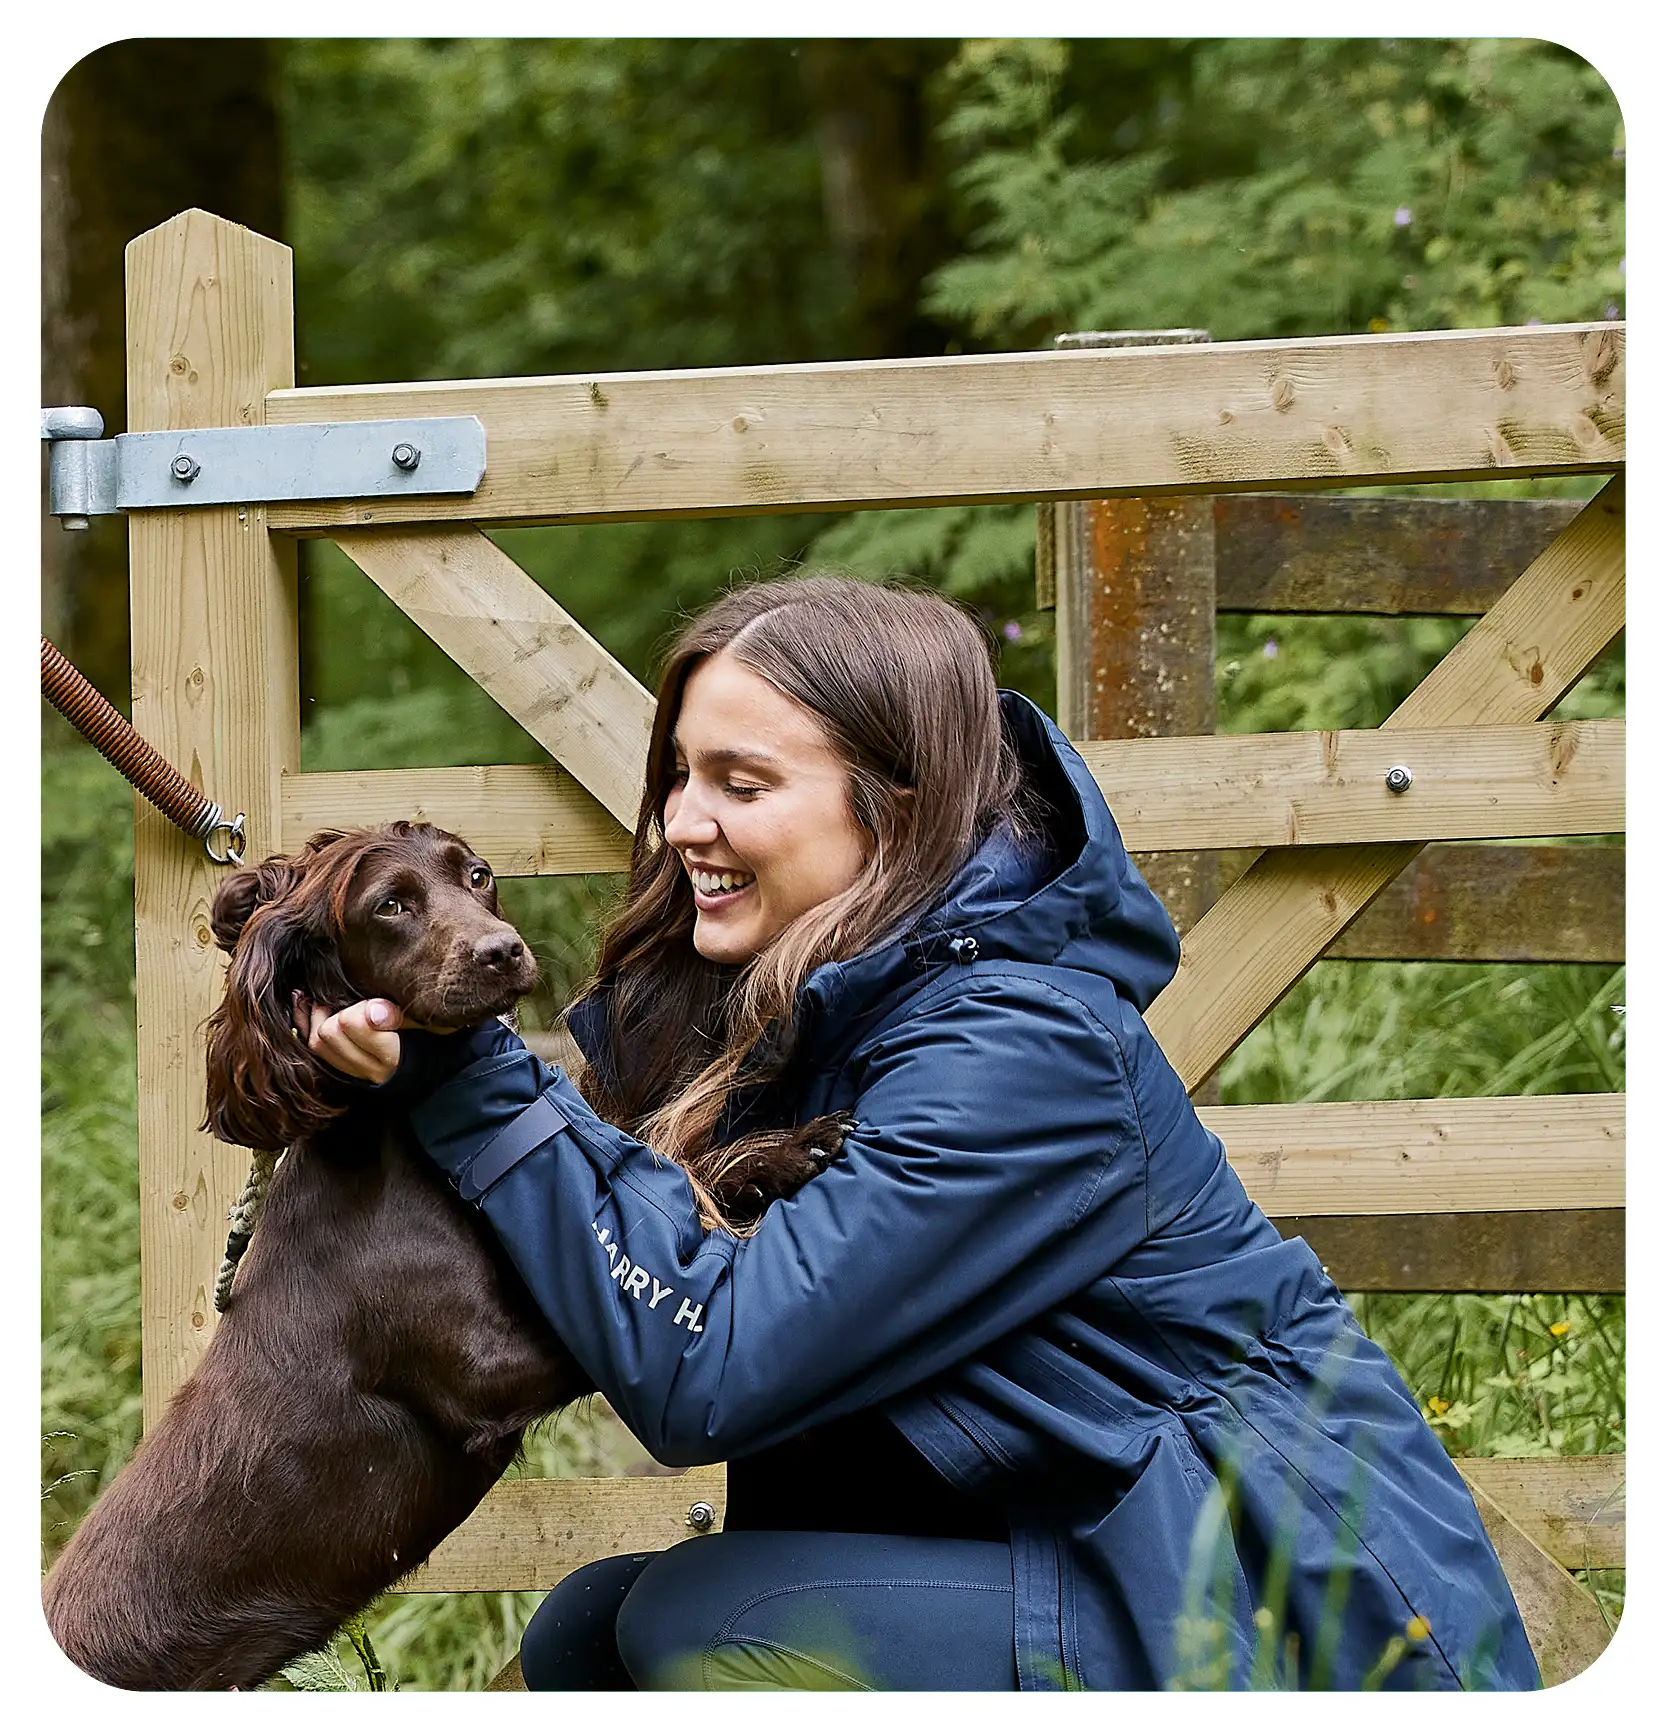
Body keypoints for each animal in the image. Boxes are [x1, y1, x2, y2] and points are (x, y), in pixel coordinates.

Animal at [43, 823, 833, 1687]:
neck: (397, 1138)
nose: (502, 951)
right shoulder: (493, 1366)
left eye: (479, 876)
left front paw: (774, 1155)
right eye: (389, 905)